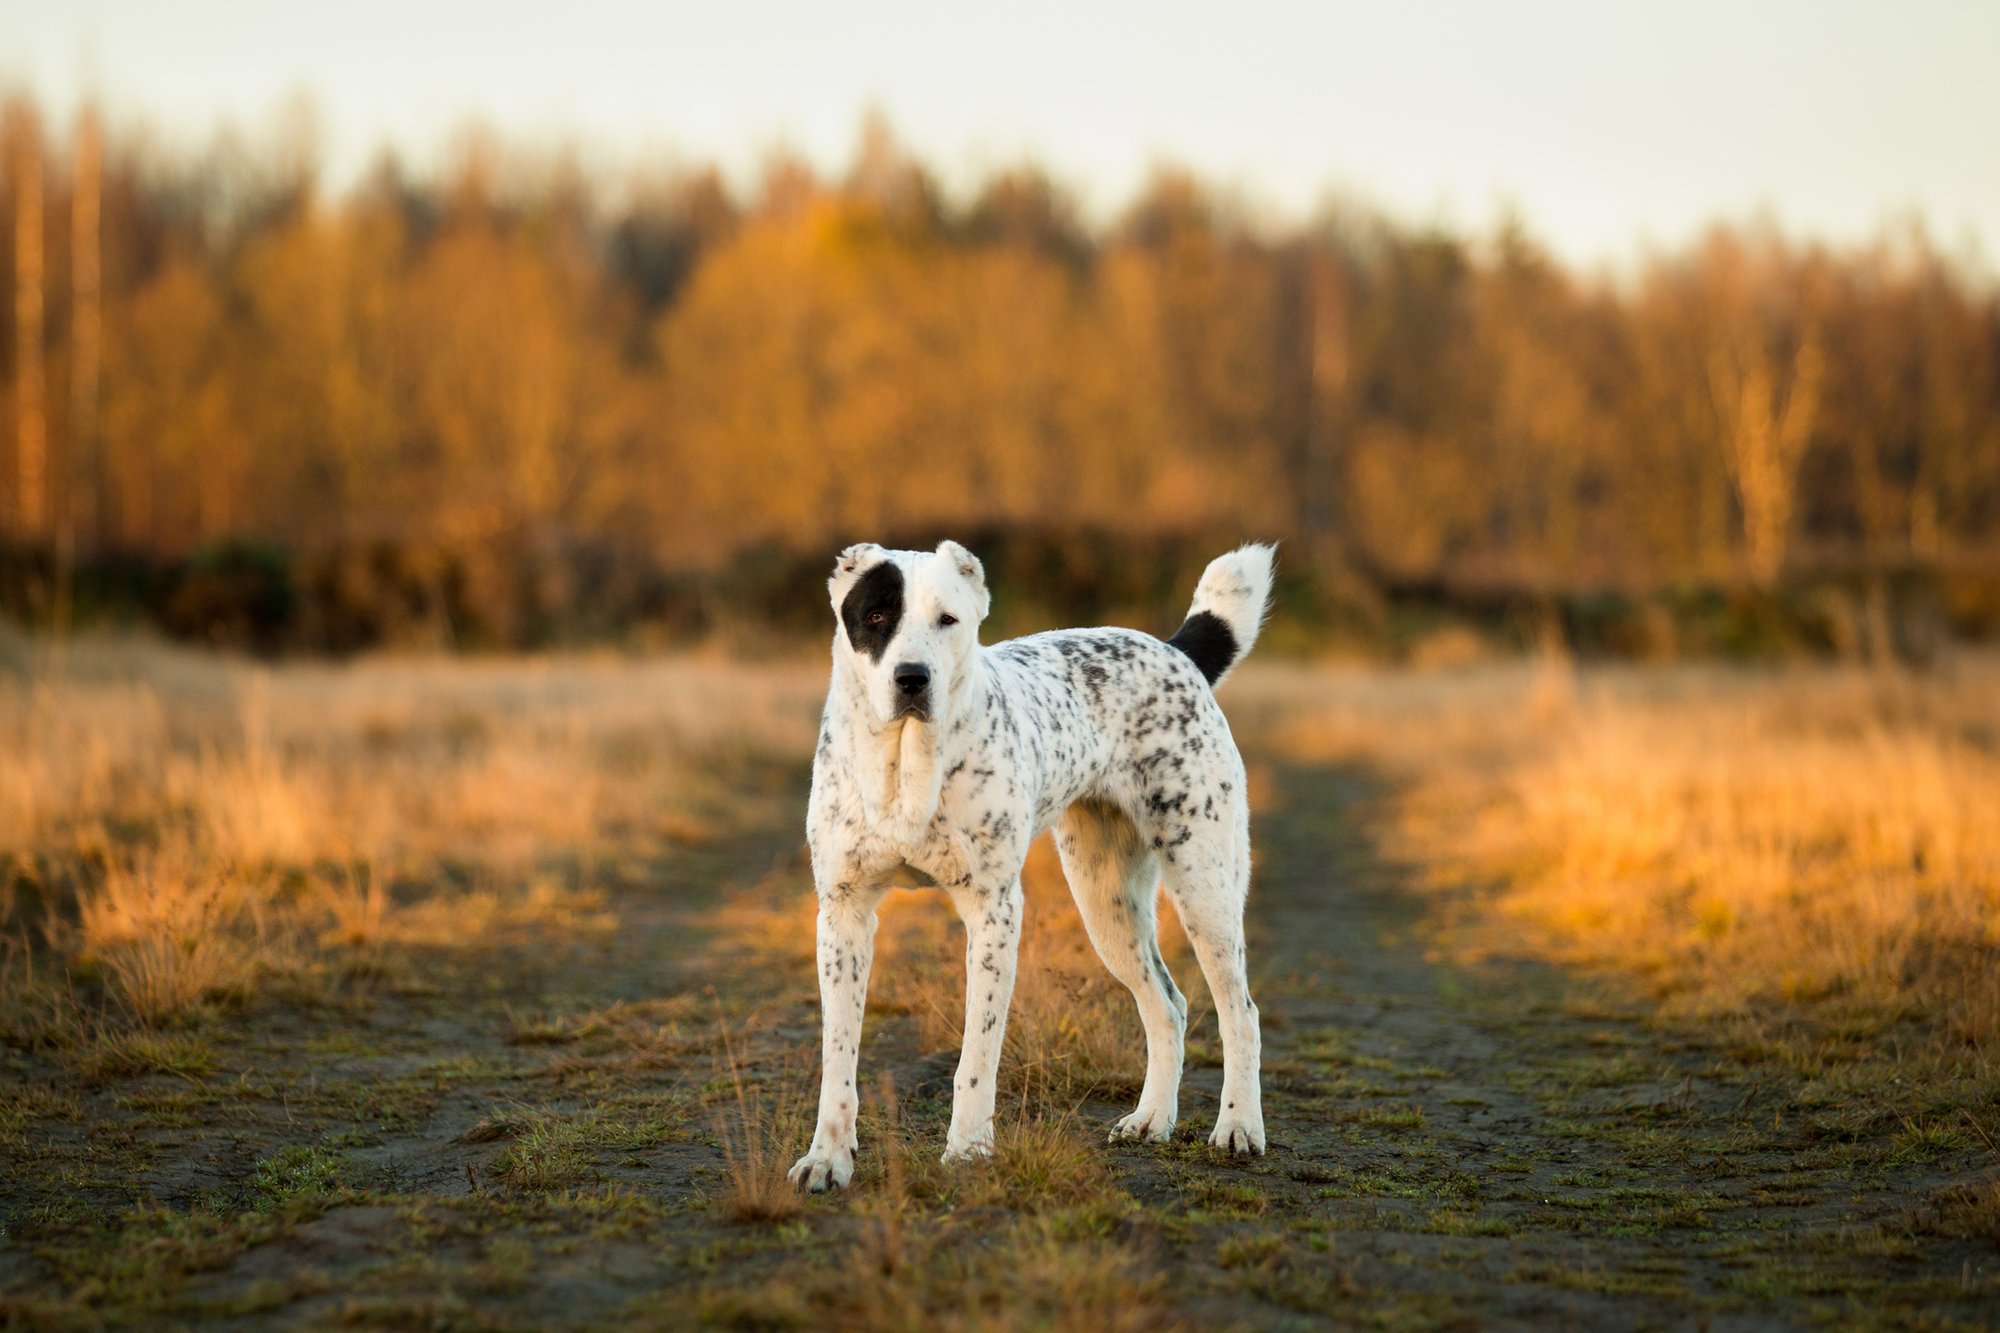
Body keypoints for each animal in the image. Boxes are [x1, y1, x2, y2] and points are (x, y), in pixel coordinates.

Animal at [788, 536, 1272, 1184]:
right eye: (875, 616)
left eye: (949, 620)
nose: (912, 678)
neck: (906, 768)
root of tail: (1176, 649)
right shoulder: (843, 916)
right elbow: (838, 1057)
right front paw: (828, 1157)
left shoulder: (993, 911)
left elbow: (976, 1055)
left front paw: (968, 1149)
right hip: (1106, 905)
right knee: (1167, 1005)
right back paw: (1151, 1119)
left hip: (1204, 886)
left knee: (1239, 1011)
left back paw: (1238, 1126)